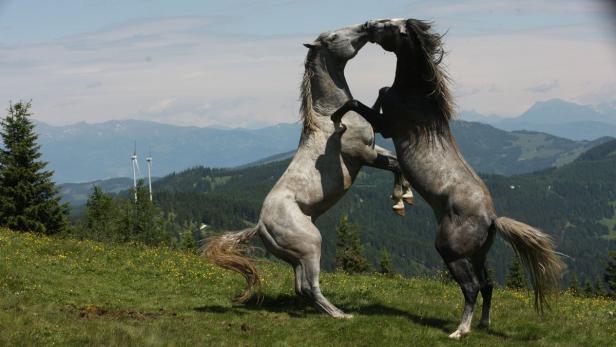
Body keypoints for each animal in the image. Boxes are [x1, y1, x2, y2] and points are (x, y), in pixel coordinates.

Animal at [332, 19, 564, 340]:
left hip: (451, 252)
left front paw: (334, 118)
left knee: (472, 288)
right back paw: (482, 324)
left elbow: (355, 102)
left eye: (389, 26)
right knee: (488, 285)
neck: (416, 97)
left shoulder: (386, 126)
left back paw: (460, 331)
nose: (368, 25)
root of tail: (492, 219)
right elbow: (378, 92)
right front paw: (401, 196)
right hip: (478, 255)